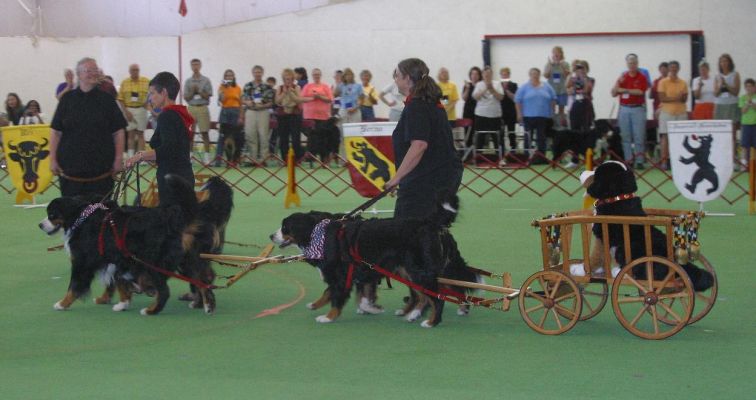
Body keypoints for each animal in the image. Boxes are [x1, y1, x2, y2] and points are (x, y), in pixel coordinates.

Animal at [38, 175, 232, 316]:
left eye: (52, 214)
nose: (40, 225)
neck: (82, 218)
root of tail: (174, 218)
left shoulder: (82, 261)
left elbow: (74, 286)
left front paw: (62, 304)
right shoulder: (117, 259)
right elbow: (118, 282)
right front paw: (120, 302)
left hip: (155, 263)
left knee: (166, 290)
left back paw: (151, 310)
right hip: (187, 260)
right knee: (202, 280)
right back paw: (206, 305)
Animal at [268, 193, 476, 328]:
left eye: (285, 227)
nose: (271, 235)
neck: (320, 234)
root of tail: (432, 225)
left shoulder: (342, 274)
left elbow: (337, 296)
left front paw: (328, 317)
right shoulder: (358, 272)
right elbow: (335, 292)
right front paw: (316, 304)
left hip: (419, 270)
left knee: (436, 297)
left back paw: (431, 321)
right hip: (410, 270)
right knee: (428, 294)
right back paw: (417, 314)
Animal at [580, 160, 712, 290]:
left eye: (595, 172)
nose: (581, 171)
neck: (618, 198)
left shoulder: (603, 232)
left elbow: (597, 254)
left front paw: (583, 269)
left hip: (628, 248)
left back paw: (619, 272)